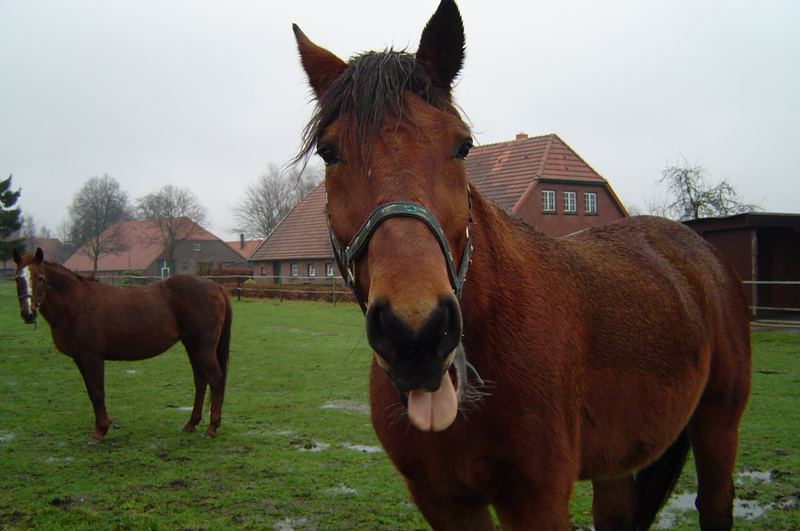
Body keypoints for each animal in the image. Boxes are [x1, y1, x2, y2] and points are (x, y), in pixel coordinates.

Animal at [12, 248, 231, 440]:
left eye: (40, 278)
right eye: (17, 279)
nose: (28, 313)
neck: (77, 304)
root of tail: (215, 286)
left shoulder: (92, 357)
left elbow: (98, 393)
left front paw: (100, 432)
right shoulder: (79, 359)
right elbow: (91, 392)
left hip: (202, 347)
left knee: (216, 379)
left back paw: (212, 428)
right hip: (192, 346)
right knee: (201, 381)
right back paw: (191, 423)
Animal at [292, 2, 752, 528]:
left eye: (462, 146)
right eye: (330, 152)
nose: (418, 334)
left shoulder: (536, 500)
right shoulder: (443, 501)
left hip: (718, 425)